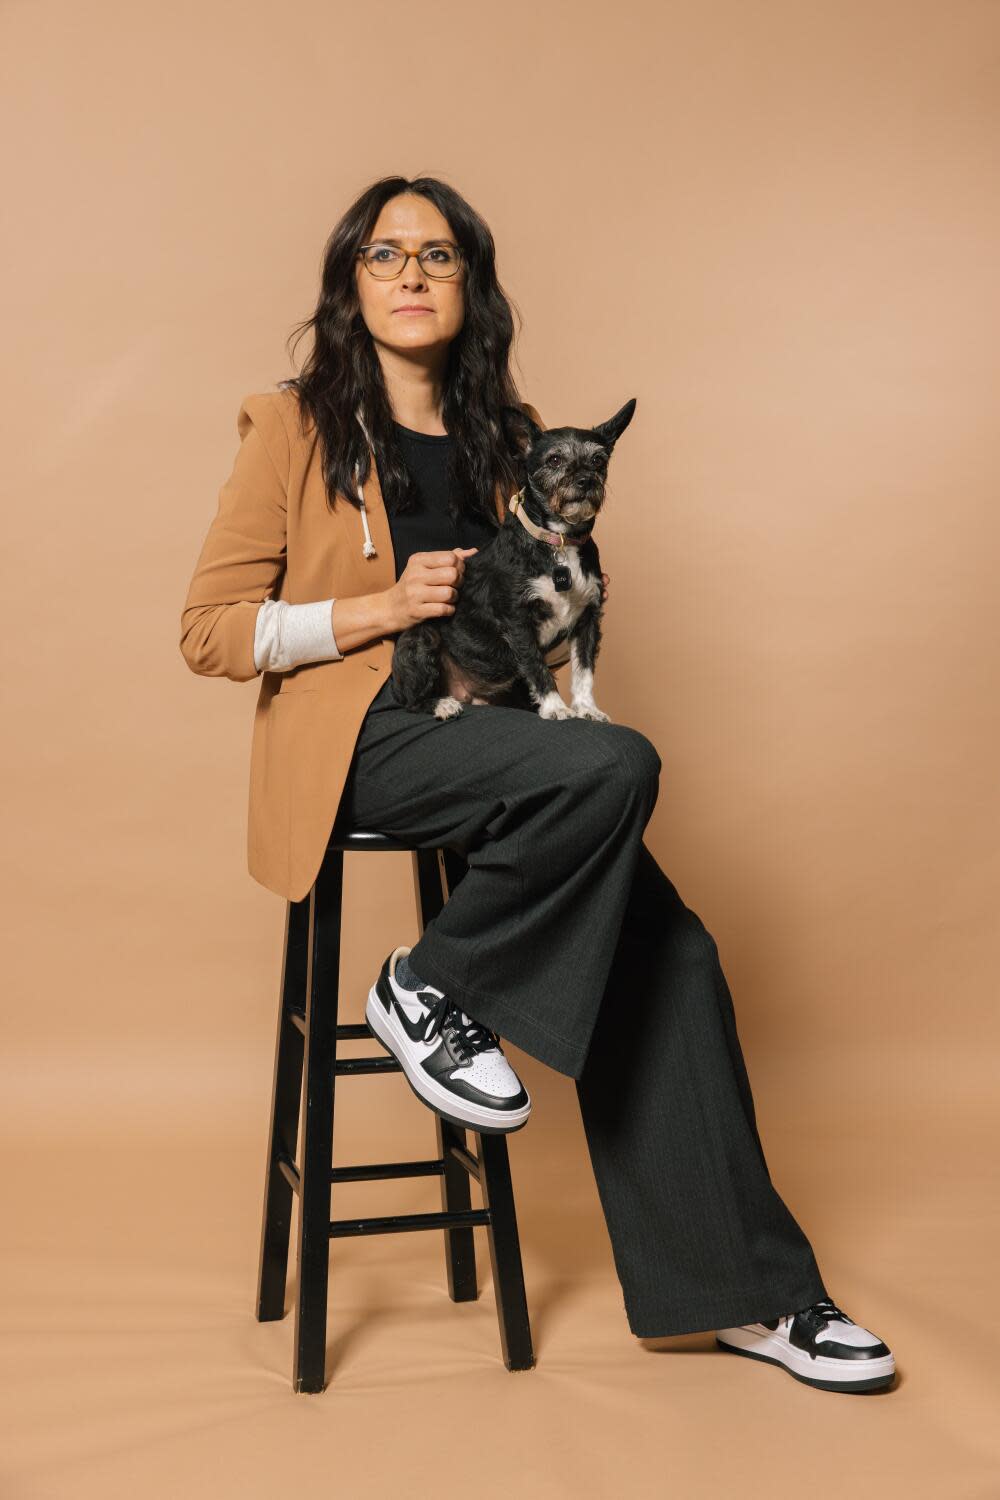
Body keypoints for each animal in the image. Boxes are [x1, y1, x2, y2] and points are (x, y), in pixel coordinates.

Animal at [386, 396, 638, 723]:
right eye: (554, 460)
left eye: (598, 460)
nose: (585, 480)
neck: (558, 542)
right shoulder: (517, 619)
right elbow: (535, 665)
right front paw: (555, 707)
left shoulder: (588, 618)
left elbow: (584, 671)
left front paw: (586, 708)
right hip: (422, 639)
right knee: (410, 701)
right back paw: (441, 704)